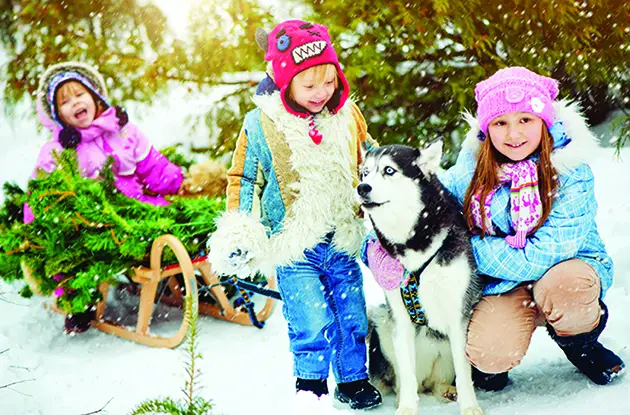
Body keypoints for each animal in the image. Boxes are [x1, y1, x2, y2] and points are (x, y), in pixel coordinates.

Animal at [360, 143, 484, 415]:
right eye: (364, 172)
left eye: (389, 170)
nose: (362, 187)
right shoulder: (400, 318)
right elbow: (406, 374)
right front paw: (406, 408)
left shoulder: (459, 315)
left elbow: (464, 371)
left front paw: (470, 407)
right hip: (382, 323)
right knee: (404, 380)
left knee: (440, 382)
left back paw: (448, 391)